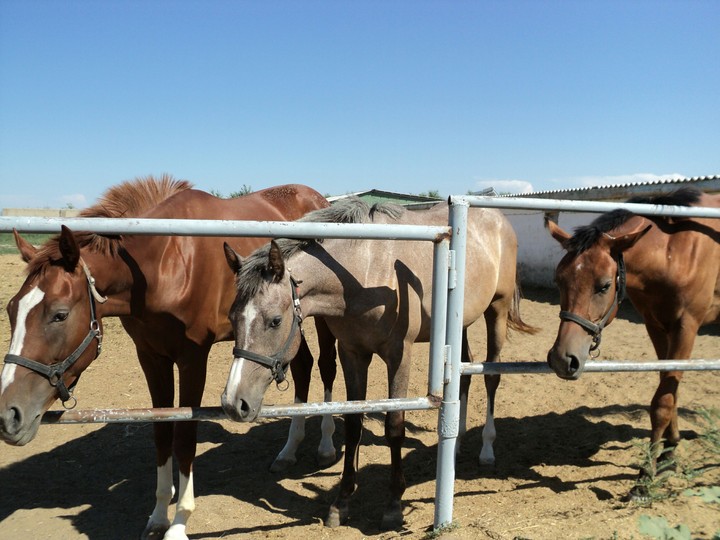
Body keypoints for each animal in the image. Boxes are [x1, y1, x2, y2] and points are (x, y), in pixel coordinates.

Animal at [0, 176, 338, 540]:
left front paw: (179, 523)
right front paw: (160, 514)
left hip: (322, 315)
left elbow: (185, 437)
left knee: (326, 368)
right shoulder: (152, 358)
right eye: (11, 309)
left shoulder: (193, 360)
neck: (165, 264)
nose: (8, 416)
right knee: (302, 367)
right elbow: (162, 432)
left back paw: (326, 446)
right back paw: (289, 451)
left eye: (59, 315)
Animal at [220, 198, 536, 529]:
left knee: (491, 375)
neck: (363, 272)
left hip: (496, 310)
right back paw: (457, 442)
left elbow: (394, 425)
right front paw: (341, 502)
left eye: (275, 321)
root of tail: (499, 218)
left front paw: (394, 504)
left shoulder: (399, 355)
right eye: (232, 317)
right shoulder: (352, 353)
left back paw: (487, 449)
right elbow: (354, 423)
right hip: (460, 320)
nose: (233, 403)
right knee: (465, 373)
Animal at [545, 187, 720, 498]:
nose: (563, 360)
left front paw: (645, 476)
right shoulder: (657, 326)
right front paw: (669, 454)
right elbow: (670, 390)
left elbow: (663, 400)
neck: (675, 250)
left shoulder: (686, 327)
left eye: (604, 285)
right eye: (558, 281)